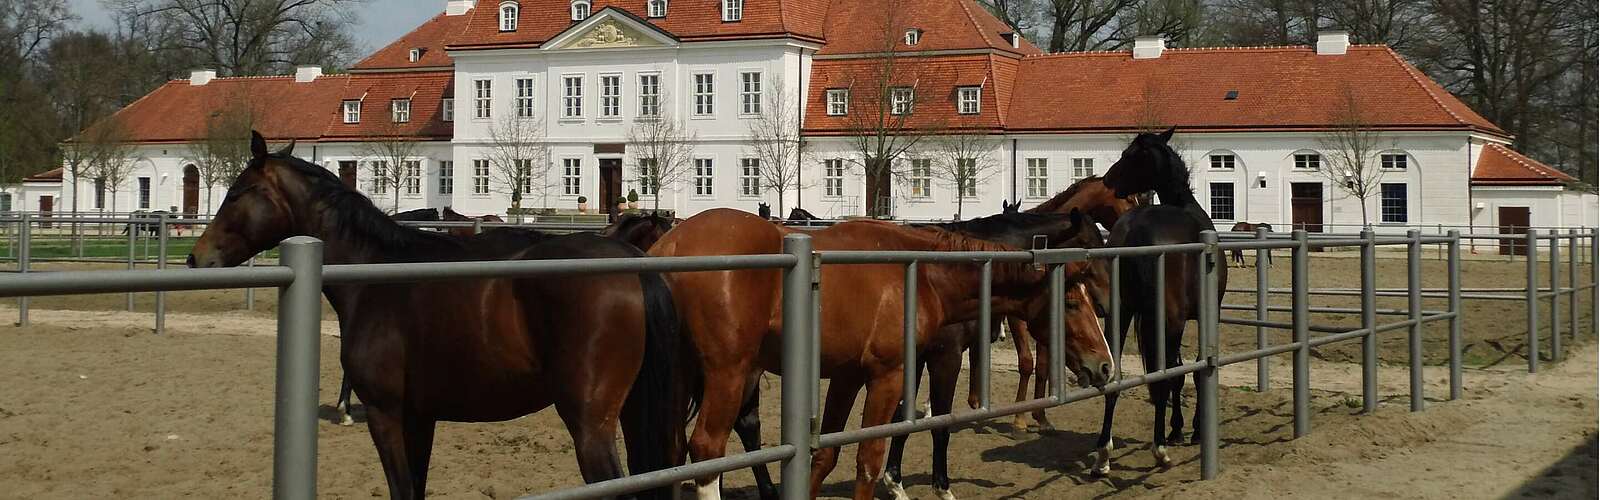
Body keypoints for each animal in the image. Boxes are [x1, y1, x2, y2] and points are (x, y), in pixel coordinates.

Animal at [184, 133, 697, 500]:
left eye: (240, 192)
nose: (196, 257)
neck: (379, 274)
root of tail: (633, 266)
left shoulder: (387, 415)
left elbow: (402, 490)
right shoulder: (420, 417)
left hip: (590, 425)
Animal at [649, 208, 1113, 500]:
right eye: (1072, 301)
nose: (1105, 364)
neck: (919, 273)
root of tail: (667, 247)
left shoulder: (847, 376)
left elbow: (826, 457)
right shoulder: (892, 374)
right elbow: (872, 458)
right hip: (728, 374)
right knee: (706, 452)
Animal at [1094, 126, 1228, 474]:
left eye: (1129, 155)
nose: (1108, 180)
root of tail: (1134, 232)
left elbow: (1179, 371)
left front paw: (1179, 428)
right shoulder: (1204, 315)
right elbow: (1189, 371)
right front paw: (1189, 430)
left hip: (1121, 314)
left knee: (1114, 373)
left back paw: (1103, 453)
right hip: (1169, 320)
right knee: (1164, 375)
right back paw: (1160, 450)